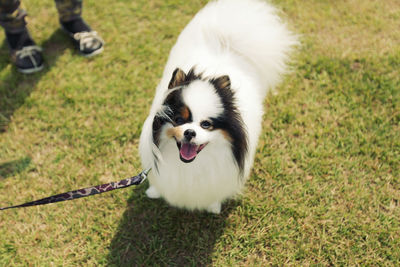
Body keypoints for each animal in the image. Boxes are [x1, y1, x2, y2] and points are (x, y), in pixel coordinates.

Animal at [139, 0, 296, 214]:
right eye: (179, 120)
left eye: (206, 124)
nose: (189, 132)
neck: (190, 165)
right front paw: (154, 192)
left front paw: (213, 206)